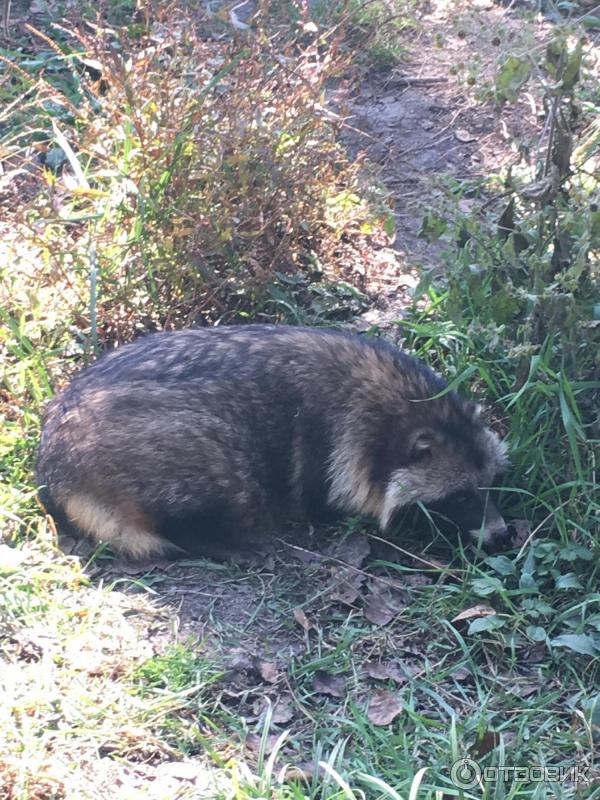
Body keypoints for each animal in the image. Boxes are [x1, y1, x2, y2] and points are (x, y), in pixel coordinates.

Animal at [35, 322, 508, 560]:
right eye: (461, 497)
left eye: (492, 487)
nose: (503, 535)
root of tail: (53, 467)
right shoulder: (329, 445)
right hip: (144, 441)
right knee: (227, 475)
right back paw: (206, 537)